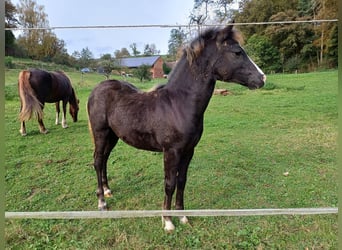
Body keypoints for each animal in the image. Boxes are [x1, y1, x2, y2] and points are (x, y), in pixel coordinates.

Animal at [87, 24, 266, 231]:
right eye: (237, 52)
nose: (262, 78)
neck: (178, 105)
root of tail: (97, 89)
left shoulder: (189, 150)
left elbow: (182, 181)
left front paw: (183, 216)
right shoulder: (171, 151)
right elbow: (170, 183)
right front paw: (167, 221)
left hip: (113, 136)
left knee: (105, 160)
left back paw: (108, 191)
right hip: (101, 133)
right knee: (98, 161)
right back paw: (102, 202)